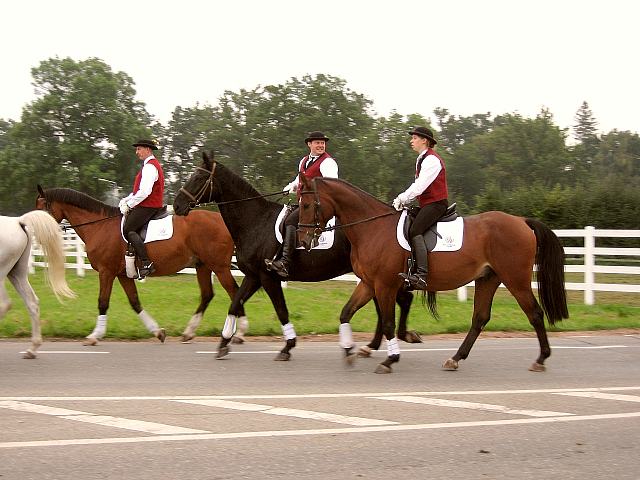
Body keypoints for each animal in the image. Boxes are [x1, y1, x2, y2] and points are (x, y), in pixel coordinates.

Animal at [35, 185, 245, 344]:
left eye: (41, 206)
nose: (36, 234)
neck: (99, 226)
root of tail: (223, 221)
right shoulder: (122, 274)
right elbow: (135, 302)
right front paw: (157, 332)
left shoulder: (106, 272)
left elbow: (103, 302)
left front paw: (95, 335)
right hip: (202, 265)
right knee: (207, 295)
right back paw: (190, 332)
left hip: (219, 267)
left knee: (235, 292)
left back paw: (240, 332)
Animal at [171, 153, 420, 360]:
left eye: (199, 177)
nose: (177, 205)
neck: (256, 222)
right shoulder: (253, 276)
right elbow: (235, 304)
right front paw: (223, 343)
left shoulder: (268, 277)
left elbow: (281, 310)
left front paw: (287, 346)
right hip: (372, 276)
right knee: (391, 303)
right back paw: (376, 344)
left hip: (377, 276)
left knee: (398, 301)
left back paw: (391, 340)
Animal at [298, 176, 568, 376]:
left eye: (306, 205)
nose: (302, 240)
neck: (372, 228)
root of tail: (522, 221)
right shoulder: (368, 284)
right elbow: (346, 312)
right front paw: (348, 351)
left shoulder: (385, 285)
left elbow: (387, 323)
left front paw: (390, 359)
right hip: (488, 278)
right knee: (480, 318)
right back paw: (455, 358)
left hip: (516, 279)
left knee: (535, 313)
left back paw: (541, 359)